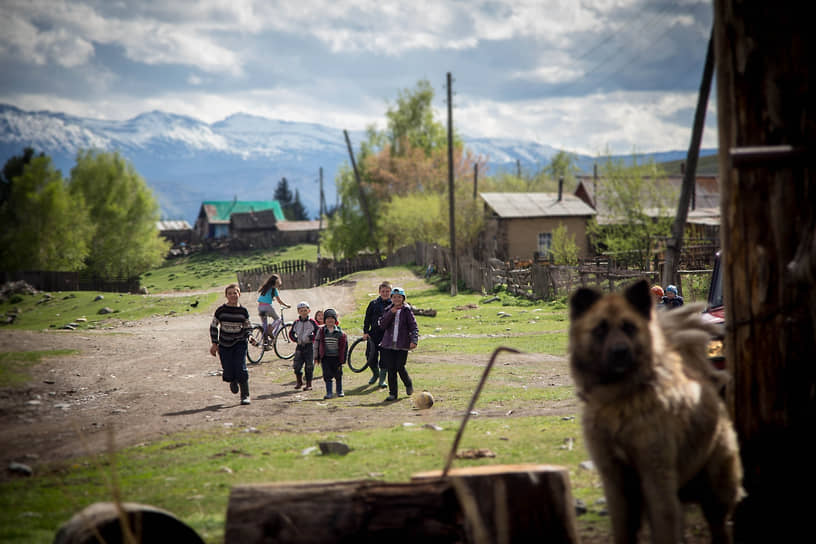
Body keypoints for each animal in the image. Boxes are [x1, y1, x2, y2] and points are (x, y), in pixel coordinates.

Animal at [572, 280, 744, 544]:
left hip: (715, 487)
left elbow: (664, 522)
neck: (620, 400)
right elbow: (623, 528)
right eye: (599, 329)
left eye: (629, 327)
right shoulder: (615, 479)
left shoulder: (656, 472)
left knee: (719, 522)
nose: (620, 351)